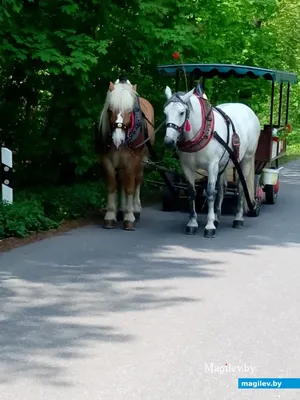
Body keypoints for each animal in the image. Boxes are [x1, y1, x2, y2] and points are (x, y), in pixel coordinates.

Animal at [98, 76, 155, 230]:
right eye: (110, 110)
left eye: (130, 111)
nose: (117, 139)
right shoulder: (107, 161)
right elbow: (112, 186)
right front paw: (110, 215)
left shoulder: (132, 162)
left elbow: (130, 187)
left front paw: (129, 217)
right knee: (122, 181)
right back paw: (121, 210)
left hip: (142, 161)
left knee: (137, 181)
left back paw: (135, 209)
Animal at [163, 84, 262, 238]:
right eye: (165, 113)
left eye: (181, 113)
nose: (168, 142)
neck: (200, 132)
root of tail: (248, 110)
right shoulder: (187, 167)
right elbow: (192, 193)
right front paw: (193, 223)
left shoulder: (212, 166)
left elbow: (210, 192)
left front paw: (209, 226)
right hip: (223, 164)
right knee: (222, 189)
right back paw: (217, 217)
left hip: (245, 160)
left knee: (241, 188)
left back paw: (238, 219)